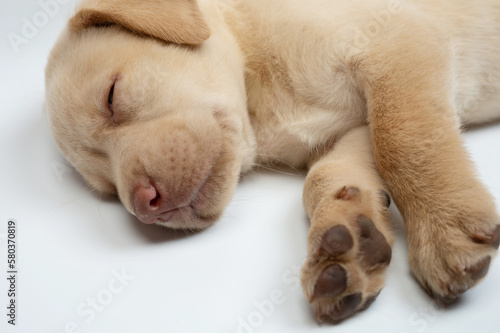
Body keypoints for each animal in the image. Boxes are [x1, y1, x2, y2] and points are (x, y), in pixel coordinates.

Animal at [46, 0, 500, 322]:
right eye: (106, 189)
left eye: (112, 96)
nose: (144, 205)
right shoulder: (349, 129)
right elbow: (326, 176)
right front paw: (348, 237)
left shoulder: (396, 40)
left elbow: (404, 140)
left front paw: (444, 228)